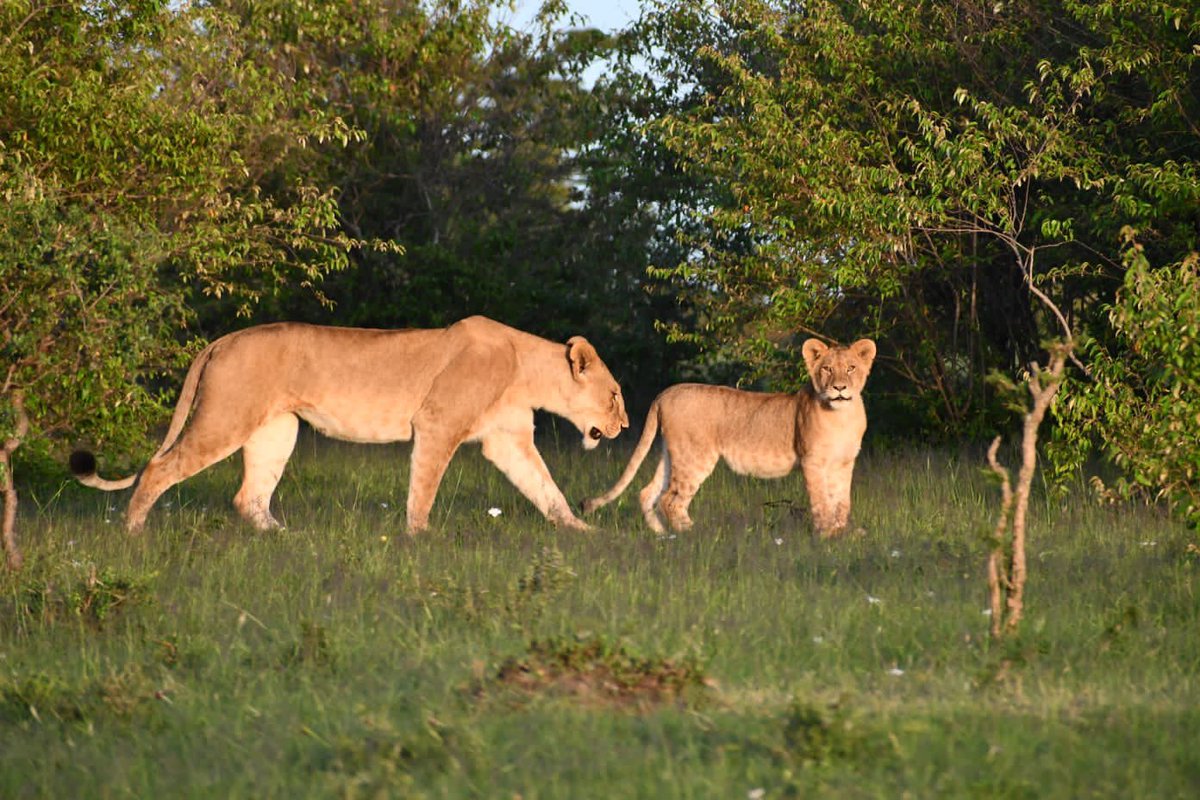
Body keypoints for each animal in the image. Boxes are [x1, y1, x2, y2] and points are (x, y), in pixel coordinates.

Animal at [71, 316, 629, 534]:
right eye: (615, 394)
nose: (624, 426)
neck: (525, 369)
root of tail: (222, 340)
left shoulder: (507, 440)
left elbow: (546, 487)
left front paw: (582, 531)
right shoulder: (437, 423)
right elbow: (424, 485)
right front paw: (419, 537)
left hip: (278, 429)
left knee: (248, 496)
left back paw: (285, 537)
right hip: (225, 417)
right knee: (158, 469)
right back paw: (134, 531)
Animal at [581, 338, 876, 536]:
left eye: (851, 368)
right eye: (827, 369)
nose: (839, 388)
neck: (842, 416)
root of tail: (667, 392)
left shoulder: (844, 463)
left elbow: (842, 501)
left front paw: (842, 534)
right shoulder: (812, 461)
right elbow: (822, 501)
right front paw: (825, 536)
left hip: (672, 454)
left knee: (647, 493)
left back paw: (663, 535)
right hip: (695, 457)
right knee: (671, 500)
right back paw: (691, 534)